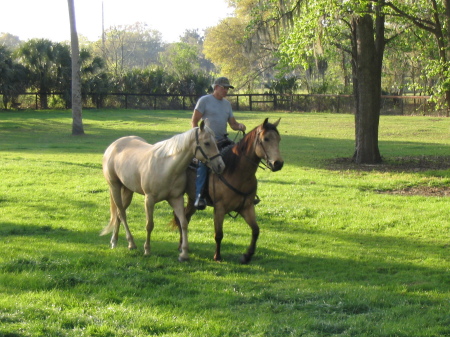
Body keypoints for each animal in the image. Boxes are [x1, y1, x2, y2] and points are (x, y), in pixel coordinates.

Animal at [100, 119, 223, 262]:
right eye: (207, 143)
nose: (221, 165)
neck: (167, 167)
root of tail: (113, 146)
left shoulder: (176, 199)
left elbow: (183, 223)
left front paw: (184, 253)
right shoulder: (149, 200)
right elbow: (149, 225)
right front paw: (147, 250)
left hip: (128, 191)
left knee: (119, 215)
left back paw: (119, 241)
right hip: (115, 187)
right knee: (121, 213)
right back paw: (126, 243)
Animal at [174, 117, 284, 262]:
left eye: (278, 139)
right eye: (266, 139)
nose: (278, 163)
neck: (236, 172)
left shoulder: (247, 207)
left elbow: (256, 230)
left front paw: (247, 256)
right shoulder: (219, 209)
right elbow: (219, 234)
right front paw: (217, 256)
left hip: (192, 199)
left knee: (185, 218)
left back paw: (182, 246)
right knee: (182, 219)